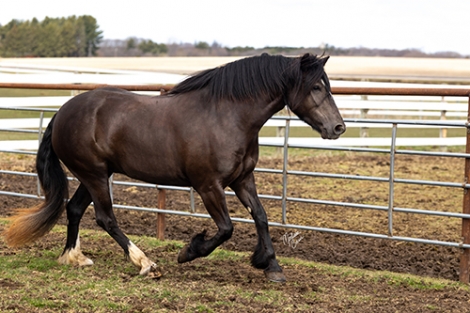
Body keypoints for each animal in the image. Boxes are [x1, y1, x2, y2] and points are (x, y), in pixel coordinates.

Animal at [4, 52, 346, 282]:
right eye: (317, 87)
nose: (338, 127)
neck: (227, 116)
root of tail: (62, 112)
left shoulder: (243, 179)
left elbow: (261, 217)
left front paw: (271, 266)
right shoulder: (208, 186)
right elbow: (226, 228)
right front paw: (188, 252)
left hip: (95, 175)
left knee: (75, 209)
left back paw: (73, 257)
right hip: (94, 174)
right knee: (105, 218)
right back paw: (145, 263)